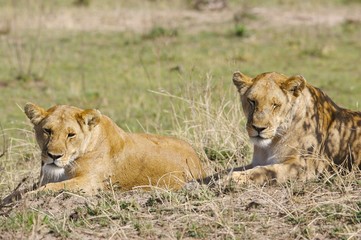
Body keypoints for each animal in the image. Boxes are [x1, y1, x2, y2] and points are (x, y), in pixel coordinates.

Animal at [215, 72, 358, 185]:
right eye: (252, 101)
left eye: (275, 105)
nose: (258, 128)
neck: (270, 145)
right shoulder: (256, 162)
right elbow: (225, 170)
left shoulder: (305, 167)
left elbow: (264, 171)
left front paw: (231, 179)